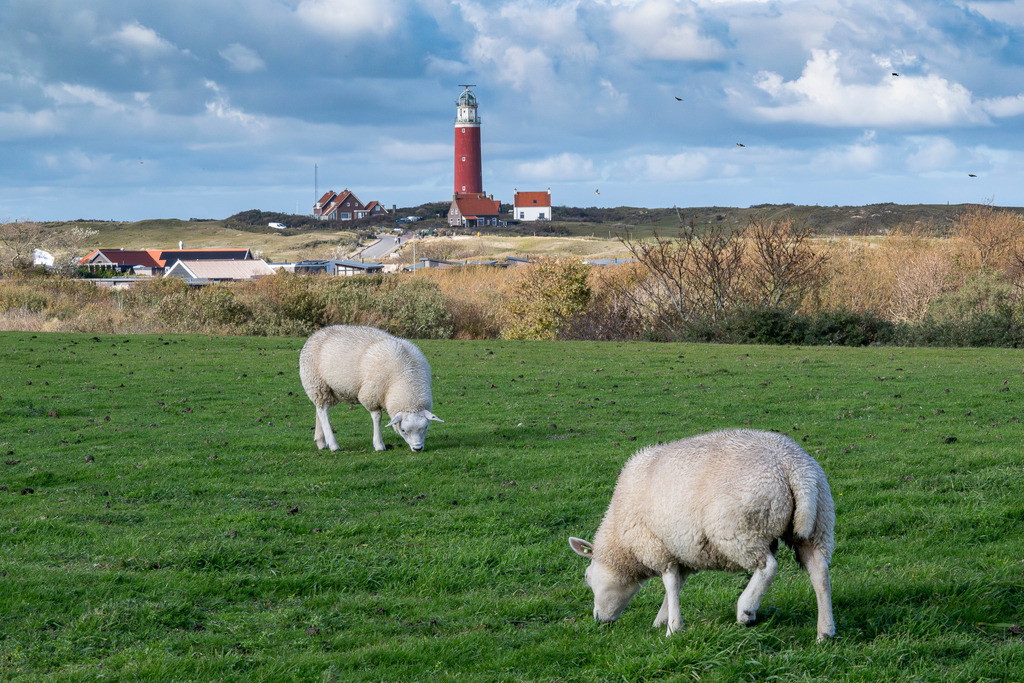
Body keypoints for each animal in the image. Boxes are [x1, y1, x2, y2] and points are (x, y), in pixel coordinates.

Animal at [299, 325, 443, 452]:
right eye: (403, 431)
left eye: (426, 428)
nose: (417, 449)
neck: (406, 376)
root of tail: (316, 333)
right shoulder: (371, 395)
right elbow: (377, 417)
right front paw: (379, 444)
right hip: (316, 383)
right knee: (323, 411)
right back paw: (333, 444)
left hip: (326, 389)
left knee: (319, 409)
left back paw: (320, 441)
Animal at [569, 429, 835, 641]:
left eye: (587, 577)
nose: (598, 620)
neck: (623, 544)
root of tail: (791, 465)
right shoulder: (683, 551)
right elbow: (676, 585)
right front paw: (661, 620)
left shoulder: (658, 547)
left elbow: (670, 584)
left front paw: (672, 628)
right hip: (817, 523)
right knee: (819, 571)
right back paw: (825, 631)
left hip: (739, 530)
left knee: (767, 566)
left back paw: (746, 610)